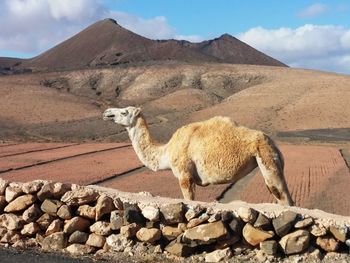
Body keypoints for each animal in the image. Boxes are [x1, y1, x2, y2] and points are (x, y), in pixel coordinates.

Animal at [102, 105, 294, 206]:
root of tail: (274, 144)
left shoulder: (184, 175)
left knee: (282, 195)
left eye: (124, 112)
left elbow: (189, 200)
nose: (107, 112)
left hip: (267, 159)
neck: (167, 151)